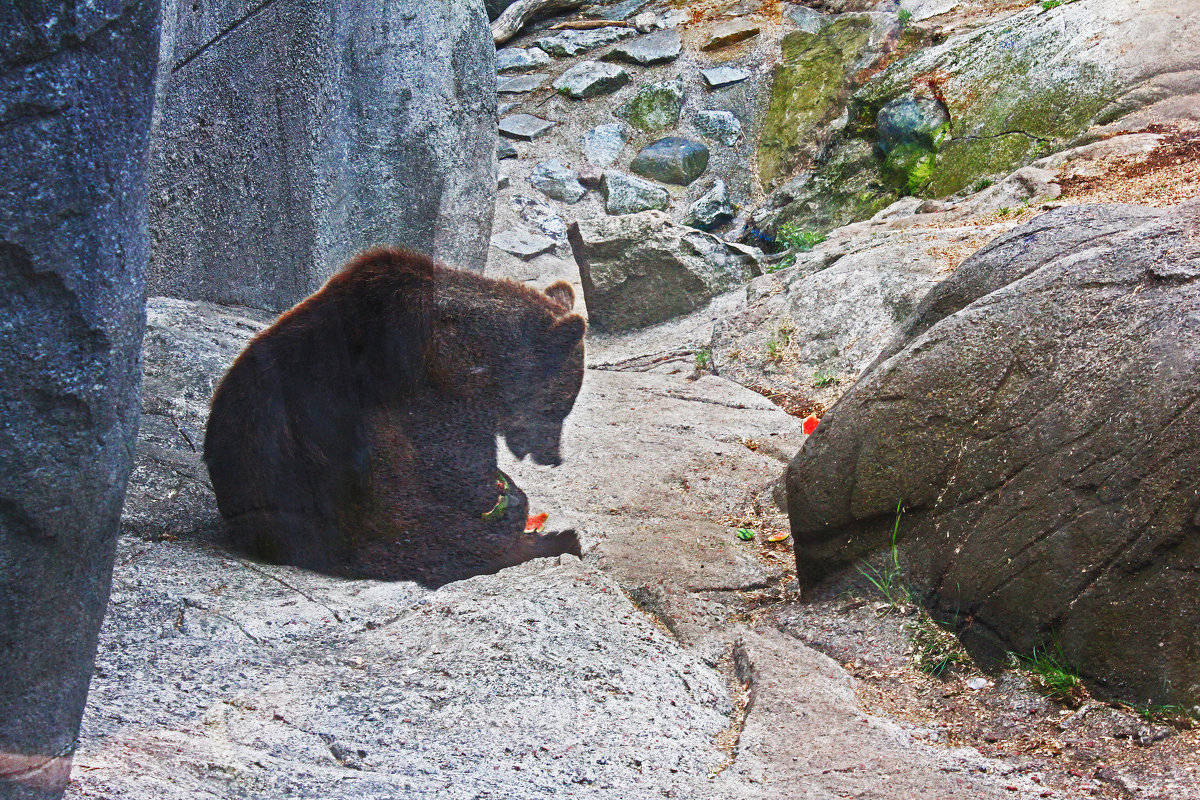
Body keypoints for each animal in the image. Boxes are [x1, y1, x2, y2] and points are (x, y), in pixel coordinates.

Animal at [204, 247, 588, 585]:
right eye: (560, 406)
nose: (553, 456)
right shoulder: (410, 387)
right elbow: (449, 463)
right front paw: (503, 502)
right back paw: (557, 539)